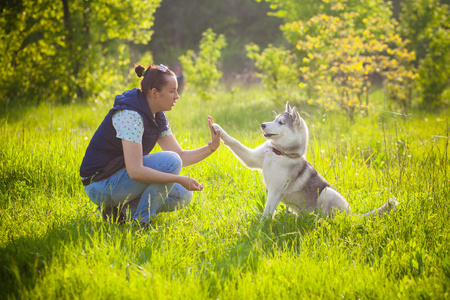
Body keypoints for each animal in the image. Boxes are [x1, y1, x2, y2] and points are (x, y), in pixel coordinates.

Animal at [212, 102, 398, 219]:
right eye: (274, 119)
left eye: (281, 122)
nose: (263, 125)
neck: (280, 153)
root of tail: (352, 214)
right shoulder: (252, 159)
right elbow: (234, 142)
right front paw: (217, 129)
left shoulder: (275, 191)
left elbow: (267, 213)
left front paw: (260, 229)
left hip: (327, 193)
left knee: (330, 217)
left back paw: (318, 221)